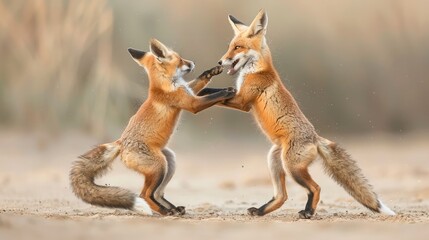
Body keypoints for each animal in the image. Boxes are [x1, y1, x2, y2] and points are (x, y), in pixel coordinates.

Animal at [70, 38, 234, 216]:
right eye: (180, 59)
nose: (193, 62)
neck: (164, 84)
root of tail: (120, 143)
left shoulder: (189, 92)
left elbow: (200, 85)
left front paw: (211, 72)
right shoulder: (191, 104)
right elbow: (212, 96)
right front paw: (228, 91)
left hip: (169, 161)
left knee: (157, 193)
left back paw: (173, 209)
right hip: (159, 166)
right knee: (145, 195)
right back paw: (165, 211)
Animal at [202, 10, 392, 218]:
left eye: (238, 47)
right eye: (230, 47)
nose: (220, 61)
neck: (257, 70)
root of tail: (316, 138)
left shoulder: (243, 101)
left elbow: (218, 95)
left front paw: (199, 92)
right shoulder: (240, 97)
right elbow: (216, 92)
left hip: (292, 167)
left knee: (315, 188)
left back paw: (307, 212)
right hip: (274, 161)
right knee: (282, 196)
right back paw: (260, 211)